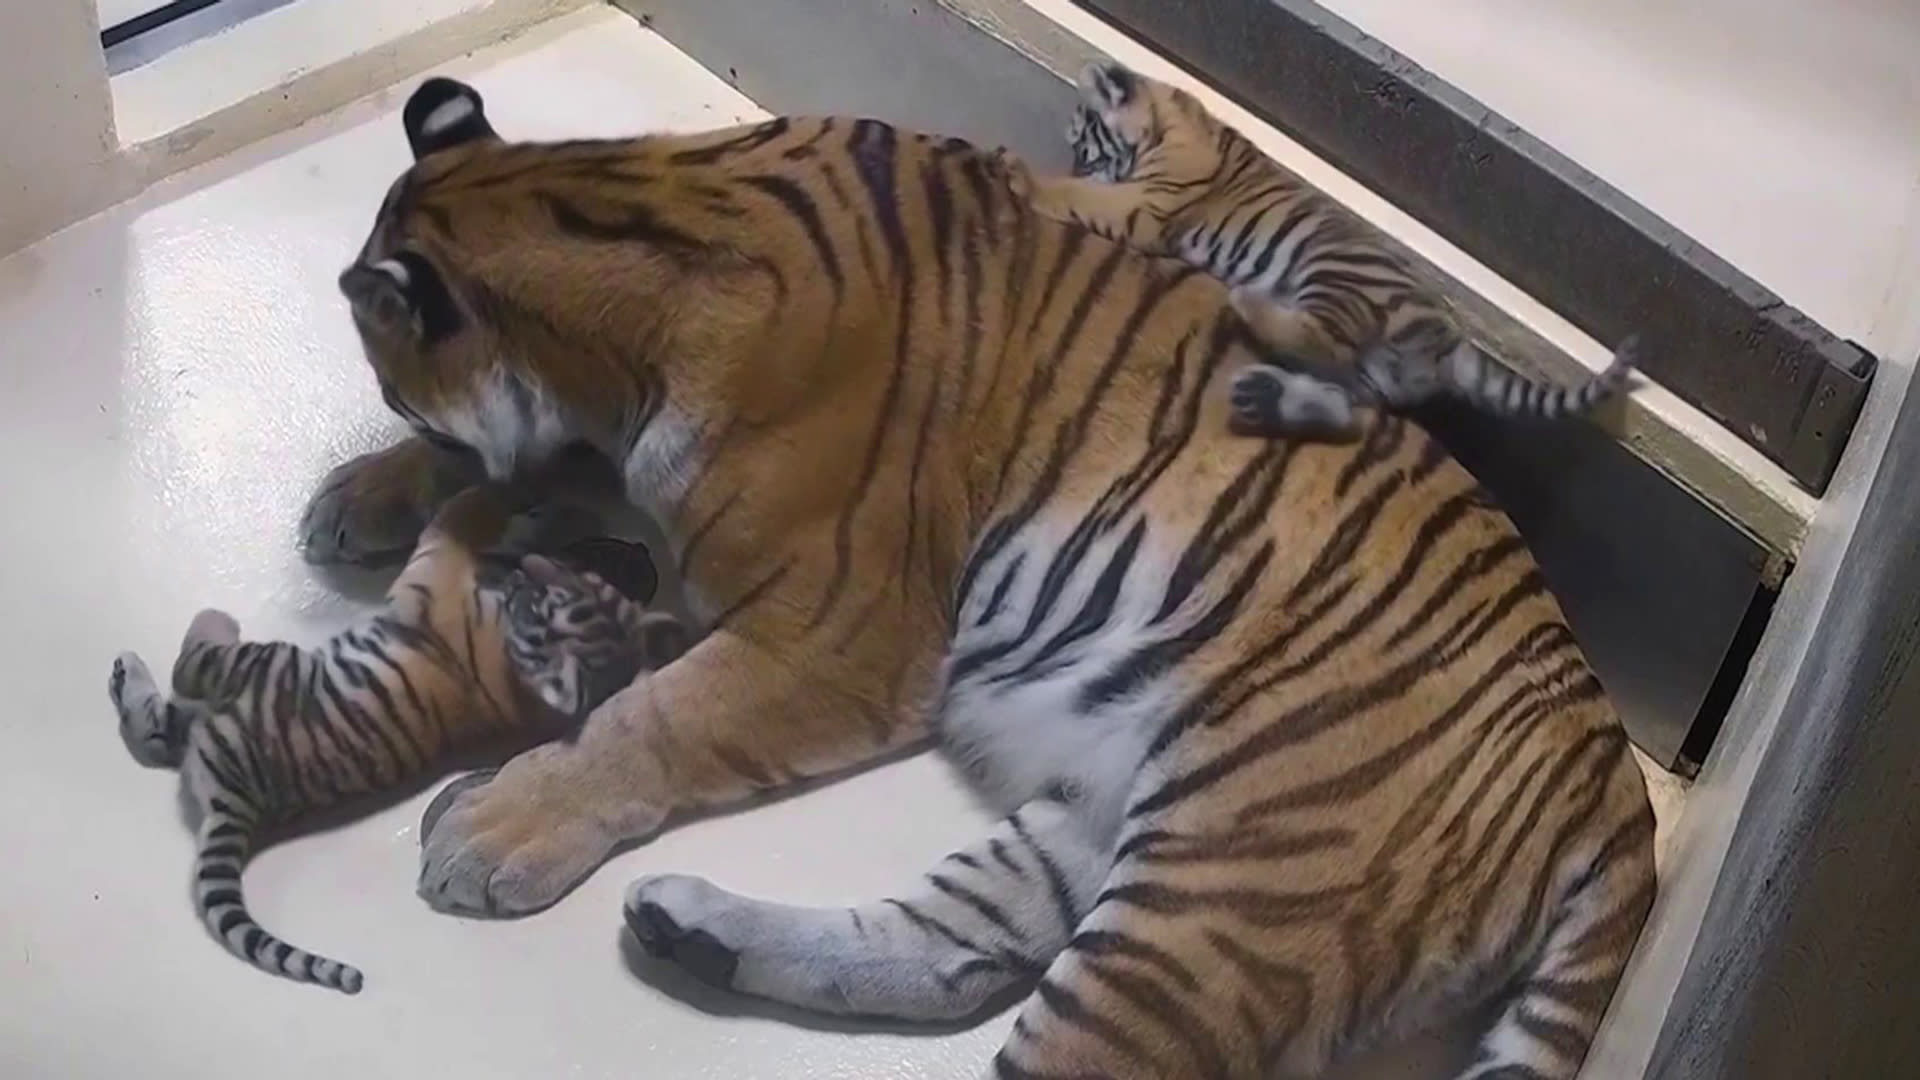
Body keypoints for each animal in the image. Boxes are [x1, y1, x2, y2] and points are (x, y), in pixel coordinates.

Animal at [299, 77, 1651, 1076]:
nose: (387, 425)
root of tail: (1616, 790)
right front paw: (360, 499)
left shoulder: (831, 629)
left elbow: (655, 719)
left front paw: (498, 821)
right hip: (1109, 821)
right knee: (956, 952)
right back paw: (692, 933)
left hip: (1235, 888)